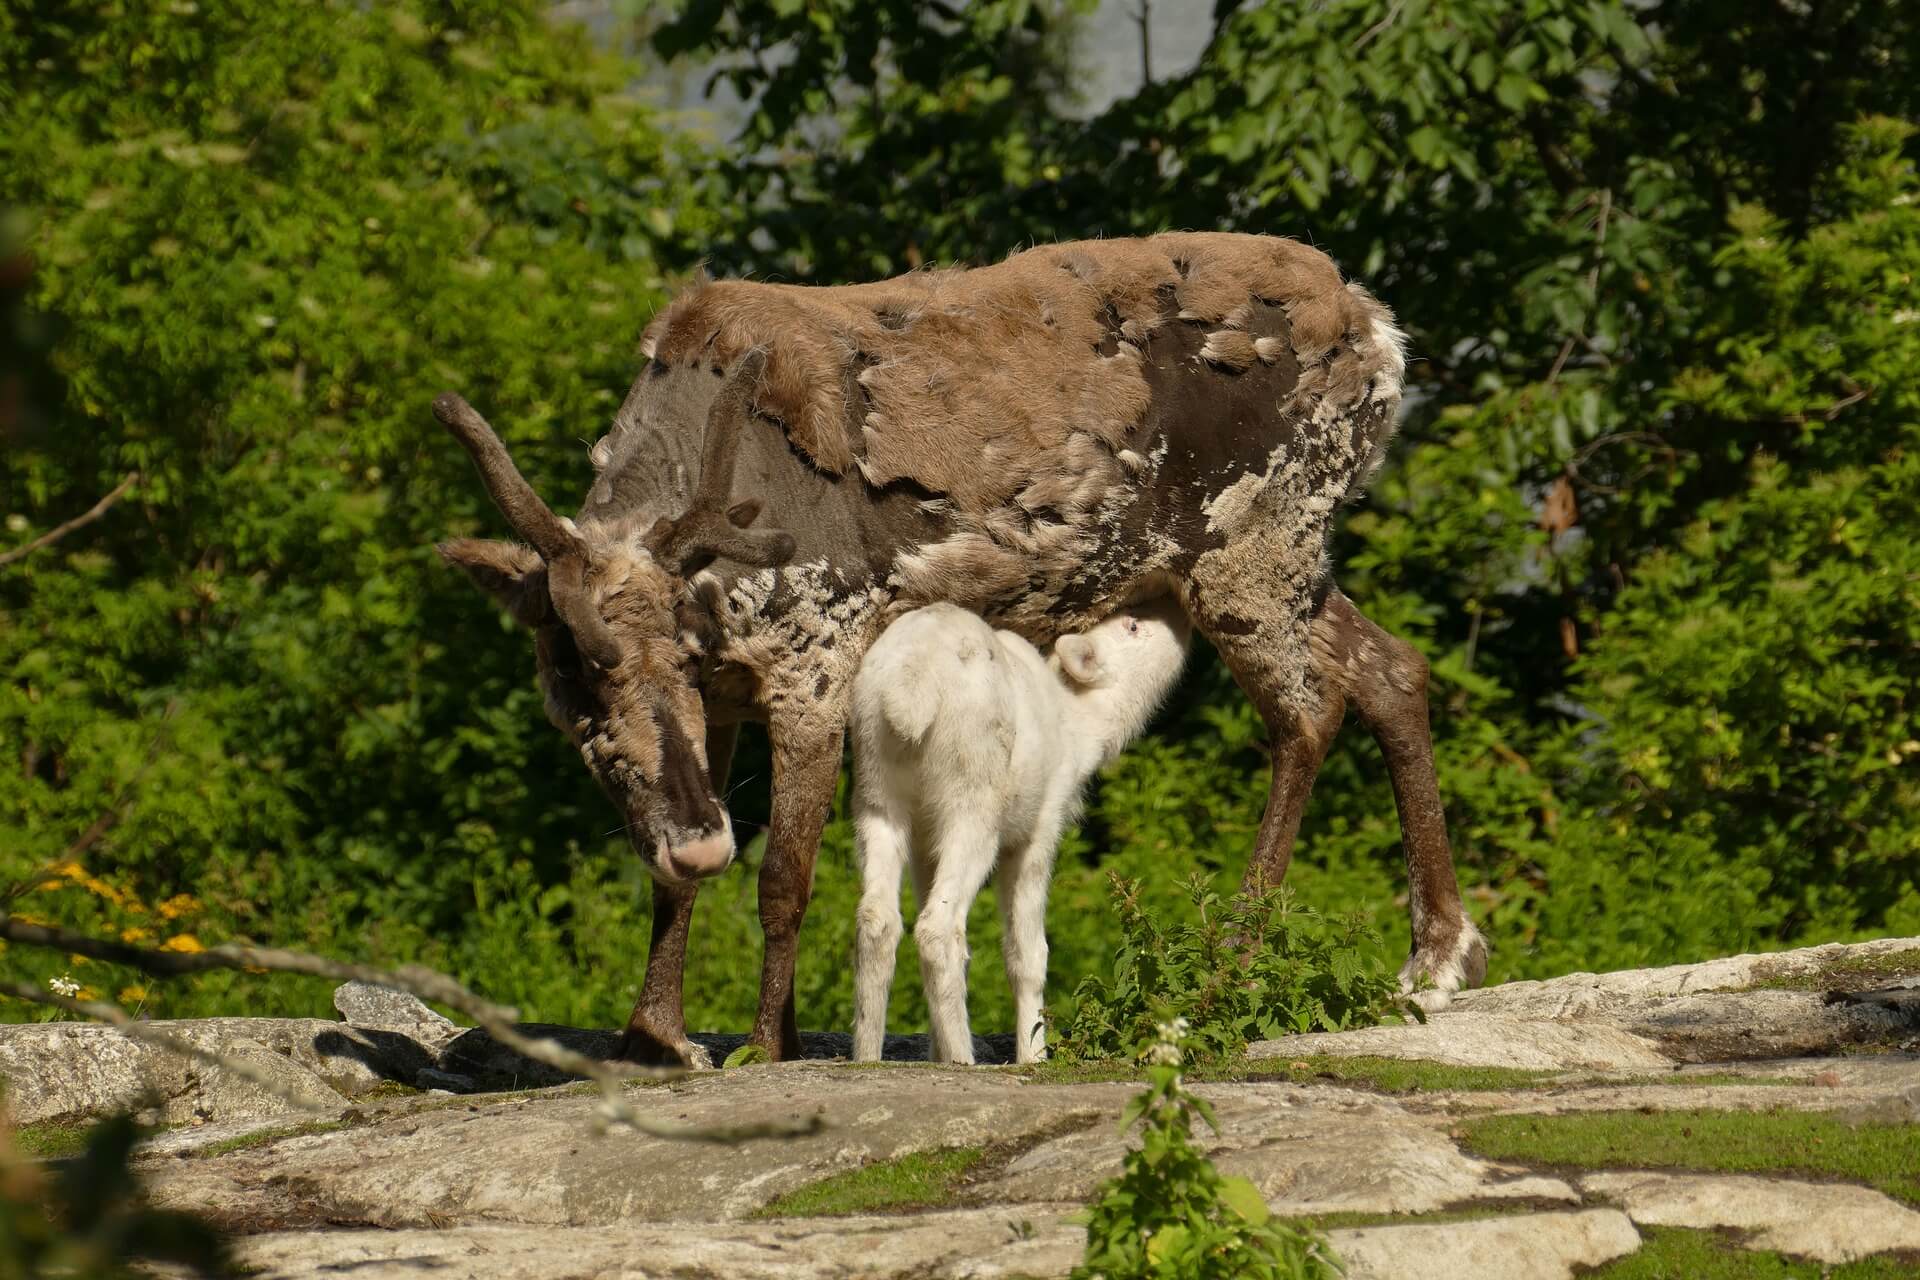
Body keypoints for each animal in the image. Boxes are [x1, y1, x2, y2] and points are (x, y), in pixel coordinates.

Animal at [852, 606, 1182, 1066]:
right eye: (1132, 625)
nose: (1178, 615)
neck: (1084, 729)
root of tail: (909, 688)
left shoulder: (923, 841)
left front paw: (935, 1050)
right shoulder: (1041, 825)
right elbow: (1028, 953)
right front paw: (1034, 1053)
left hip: (875, 784)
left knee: (879, 917)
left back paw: (867, 1055)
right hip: (973, 795)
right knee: (939, 927)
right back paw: (963, 1058)